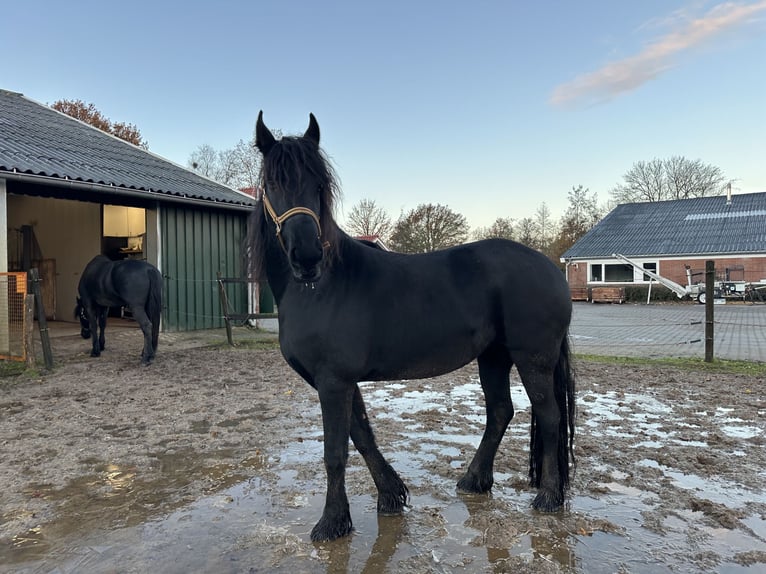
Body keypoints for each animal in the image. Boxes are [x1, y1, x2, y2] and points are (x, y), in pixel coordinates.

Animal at [252, 112, 576, 544]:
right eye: (272, 183)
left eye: (319, 184)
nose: (307, 258)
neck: (321, 286)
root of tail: (551, 269)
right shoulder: (340, 381)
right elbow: (362, 435)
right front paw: (390, 496)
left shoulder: (332, 381)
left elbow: (335, 452)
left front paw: (332, 522)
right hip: (493, 357)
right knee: (500, 412)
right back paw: (474, 480)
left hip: (533, 359)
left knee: (550, 417)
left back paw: (548, 497)